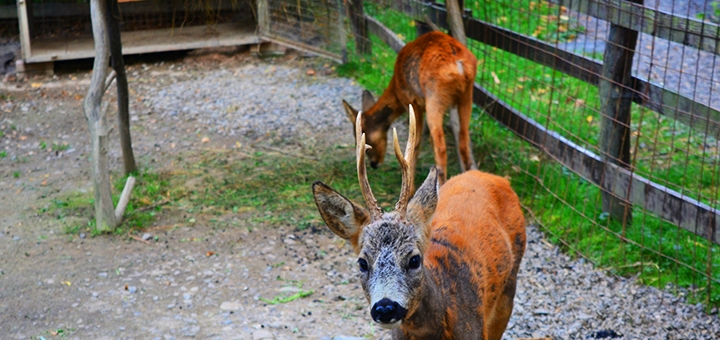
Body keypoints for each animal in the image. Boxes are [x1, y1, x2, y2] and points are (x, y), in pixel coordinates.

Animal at [344, 30, 478, 185]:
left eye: (363, 143)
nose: (374, 164)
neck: (396, 88)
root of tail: (459, 66)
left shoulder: (411, 101)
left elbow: (415, 144)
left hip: (434, 96)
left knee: (441, 147)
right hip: (467, 96)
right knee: (463, 142)